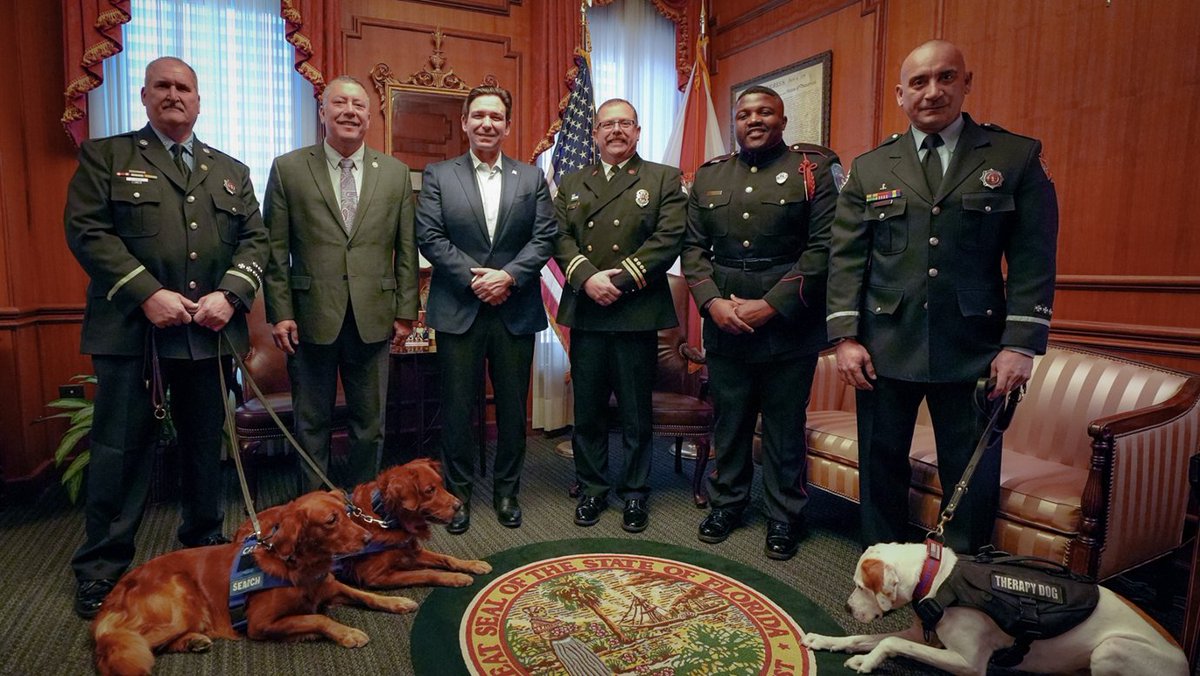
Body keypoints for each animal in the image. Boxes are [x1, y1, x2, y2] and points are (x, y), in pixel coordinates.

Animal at [801, 545, 1185, 676]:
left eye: (861, 586)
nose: (846, 606)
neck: (936, 577)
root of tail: (1182, 656)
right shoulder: (922, 635)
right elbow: (866, 637)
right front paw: (828, 641)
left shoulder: (968, 662)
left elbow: (889, 643)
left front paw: (867, 662)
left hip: (1112, 648)